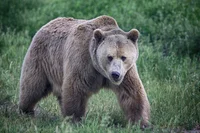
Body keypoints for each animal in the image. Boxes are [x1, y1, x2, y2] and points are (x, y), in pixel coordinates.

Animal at [19, 15, 150, 127]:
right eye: (109, 57)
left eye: (123, 57)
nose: (115, 74)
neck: (100, 70)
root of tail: (48, 24)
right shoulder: (82, 60)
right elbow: (76, 88)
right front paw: (75, 120)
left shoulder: (126, 73)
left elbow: (132, 93)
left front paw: (140, 122)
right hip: (42, 59)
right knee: (33, 86)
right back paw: (26, 110)